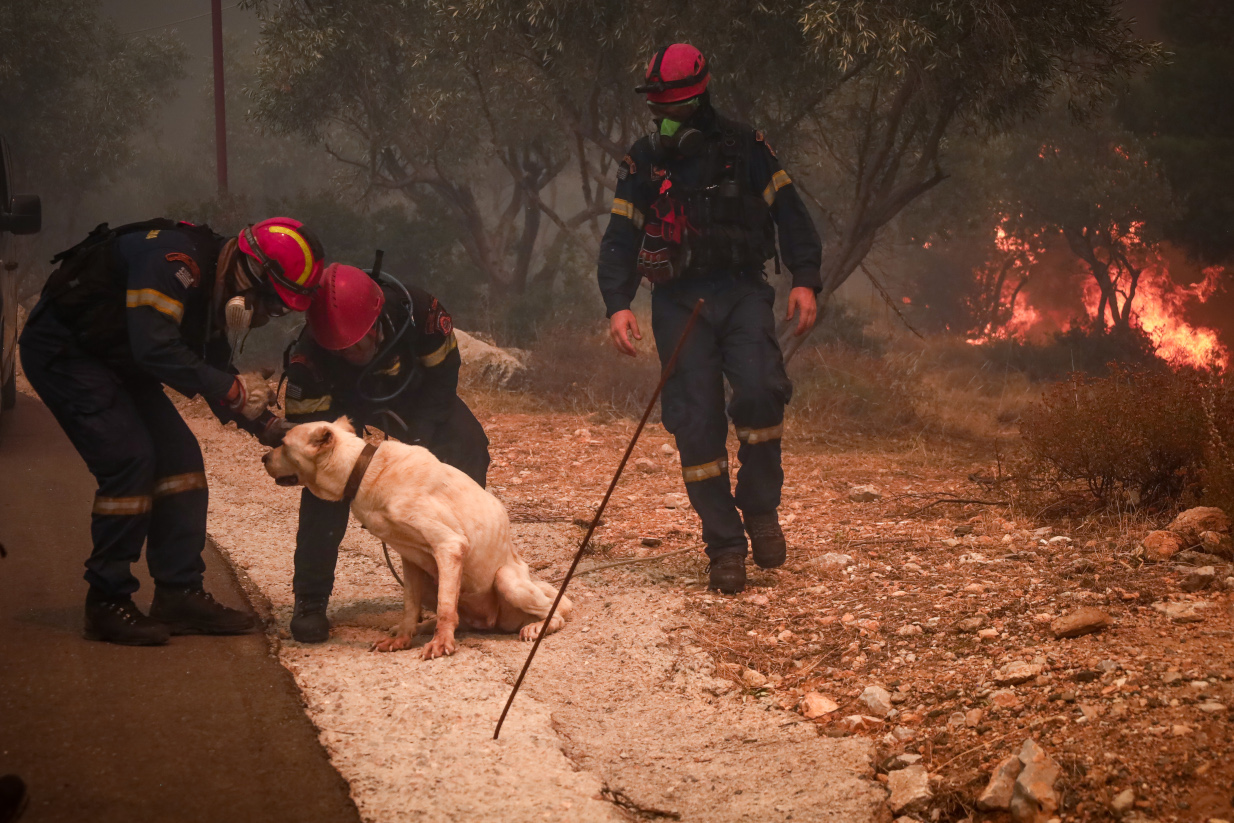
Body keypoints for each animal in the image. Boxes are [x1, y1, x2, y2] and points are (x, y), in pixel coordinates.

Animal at [262, 421, 570, 661]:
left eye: (283, 444)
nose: (264, 457)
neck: (364, 471)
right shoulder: (410, 559)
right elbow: (410, 608)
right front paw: (403, 638)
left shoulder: (449, 545)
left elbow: (446, 609)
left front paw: (441, 643)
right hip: (432, 582)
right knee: (454, 616)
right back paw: (419, 628)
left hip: (506, 581)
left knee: (556, 613)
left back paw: (536, 626)